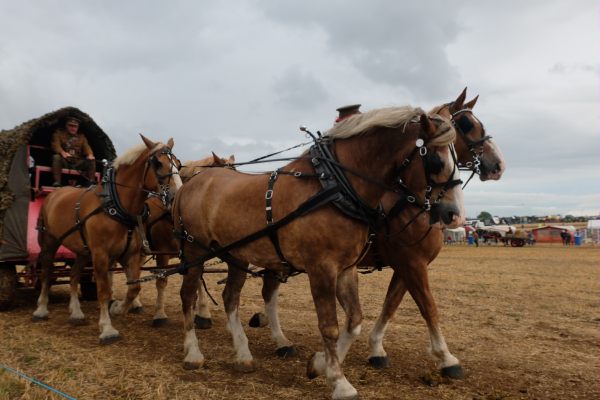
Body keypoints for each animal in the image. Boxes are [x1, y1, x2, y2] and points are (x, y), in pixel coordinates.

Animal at [240, 86, 506, 378]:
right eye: (467, 124)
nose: (498, 164)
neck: (407, 200)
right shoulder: (411, 263)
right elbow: (428, 307)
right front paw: (446, 358)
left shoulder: (404, 265)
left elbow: (390, 306)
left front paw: (375, 349)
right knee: (268, 291)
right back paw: (276, 339)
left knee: (269, 289)